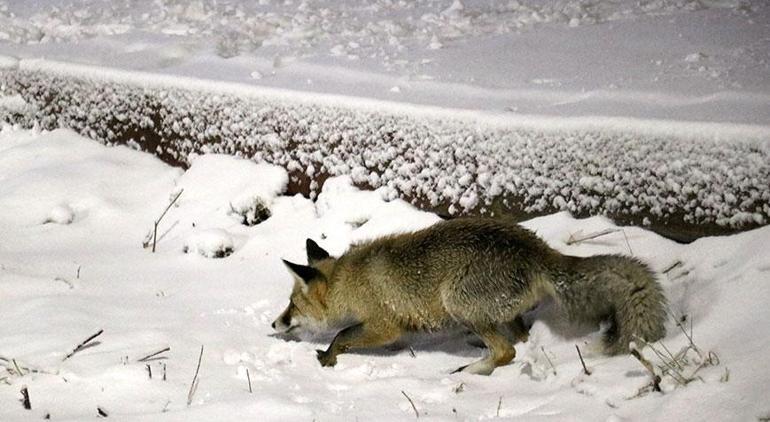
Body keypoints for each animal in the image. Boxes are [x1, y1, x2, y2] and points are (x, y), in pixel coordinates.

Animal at [272, 218, 664, 376]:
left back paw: (470, 370)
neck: (350, 281)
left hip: (457, 301)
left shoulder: (385, 326)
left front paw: (327, 357)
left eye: (292, 304)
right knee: (520, 341)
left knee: (507, 351)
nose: (275, 322)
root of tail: (537, 249)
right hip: (499, 313)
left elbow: (342, 335)